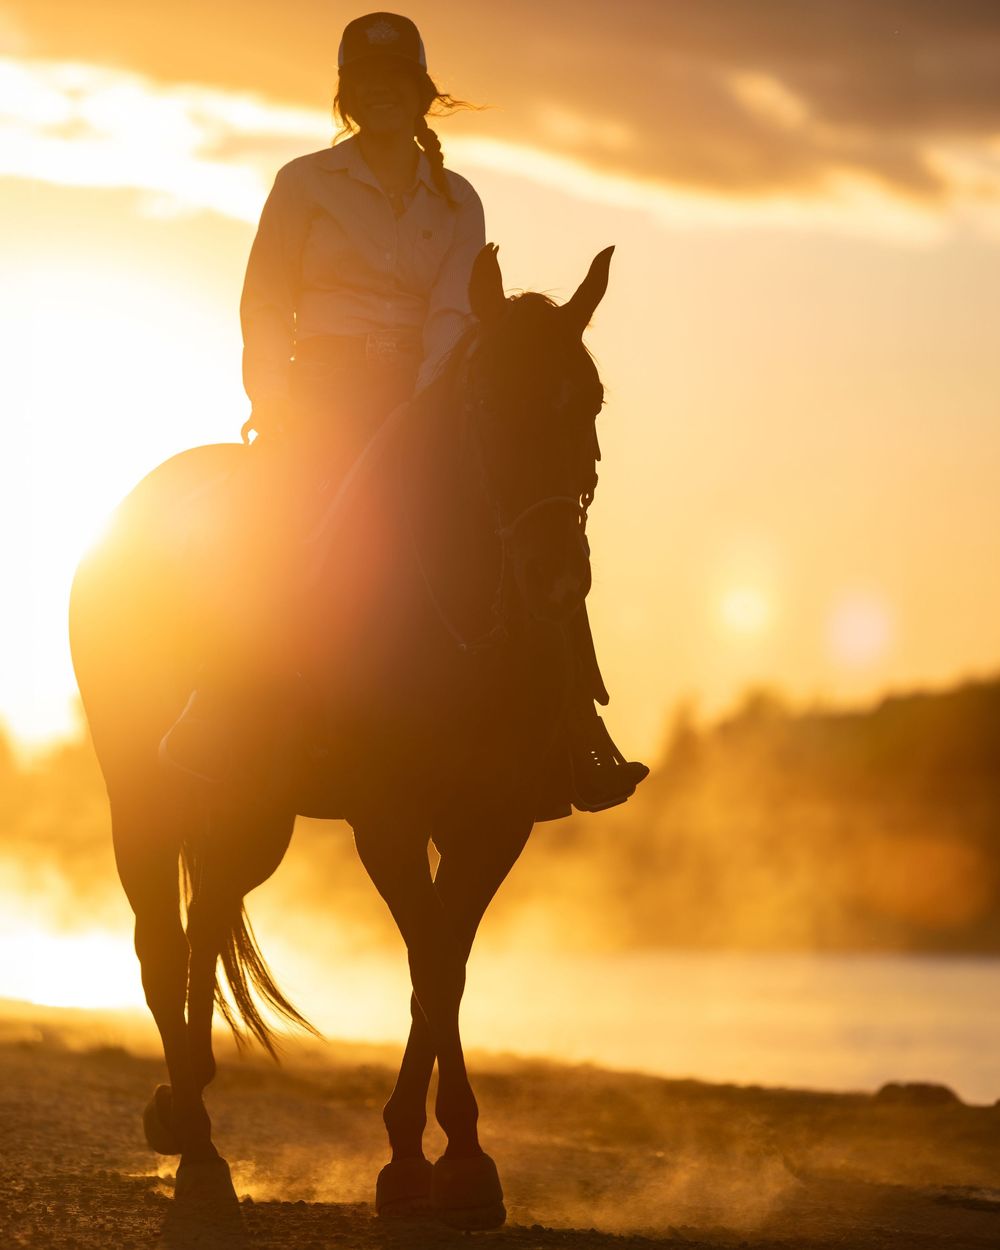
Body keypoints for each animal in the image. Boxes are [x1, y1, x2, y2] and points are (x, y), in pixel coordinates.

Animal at [69, 242, 620, 1230]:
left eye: (588, 399)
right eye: (489, 402)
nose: (558, 575)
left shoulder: (496, 822)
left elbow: (443, 967)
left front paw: (443, 1159)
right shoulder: (387, 820)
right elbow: (431, 963)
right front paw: (432, 1161)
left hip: (250, 818)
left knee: (205, 926)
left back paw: (186, 1103)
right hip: (140, 795)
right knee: (161, 946)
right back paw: (200, 1159)